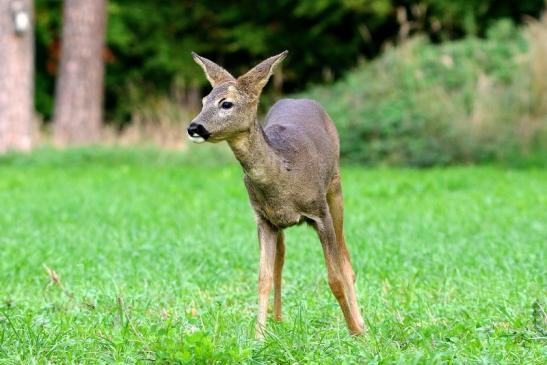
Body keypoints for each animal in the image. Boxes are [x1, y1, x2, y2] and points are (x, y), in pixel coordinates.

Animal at [187, 50, 364, 338]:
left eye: (226, 104)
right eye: (204, 101)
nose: (194, 127)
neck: (284, 174)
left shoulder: (319, 213)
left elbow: (334, 277)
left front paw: (355, 331)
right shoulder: (263, 219)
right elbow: (264, 277)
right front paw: (259, 336)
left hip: (335, 187)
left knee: (346, 260)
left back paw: (361, 323)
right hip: (282, 223)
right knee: (281, 260)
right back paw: (279, 320)